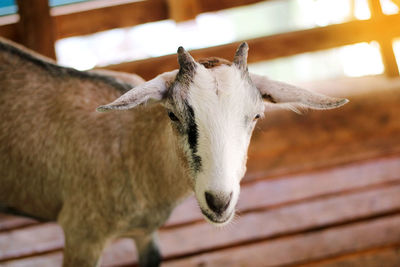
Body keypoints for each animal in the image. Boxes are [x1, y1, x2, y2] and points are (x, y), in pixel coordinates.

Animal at [0, 38, 346, 267]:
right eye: (173, 115)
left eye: (257, 116)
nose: (219, 201)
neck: (132, 148)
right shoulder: (81, 235)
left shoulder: (145, 235)